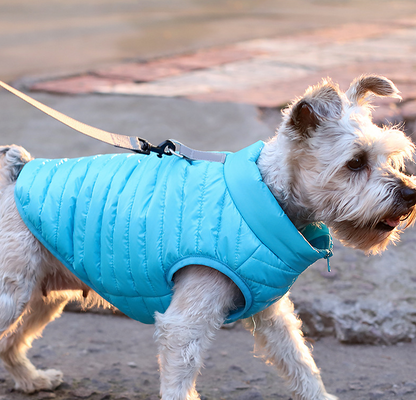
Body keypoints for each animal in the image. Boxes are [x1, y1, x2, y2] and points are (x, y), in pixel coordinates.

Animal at [0, 76, 416, 400]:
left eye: (391, 158)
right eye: (355, 162)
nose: (410, 194)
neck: (268, 193)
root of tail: (17, 173)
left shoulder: (272, 313)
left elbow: (301, 363)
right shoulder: (183, 327)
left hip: (44, 299)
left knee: (8, 343)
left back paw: (31, 379)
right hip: (13, 296)